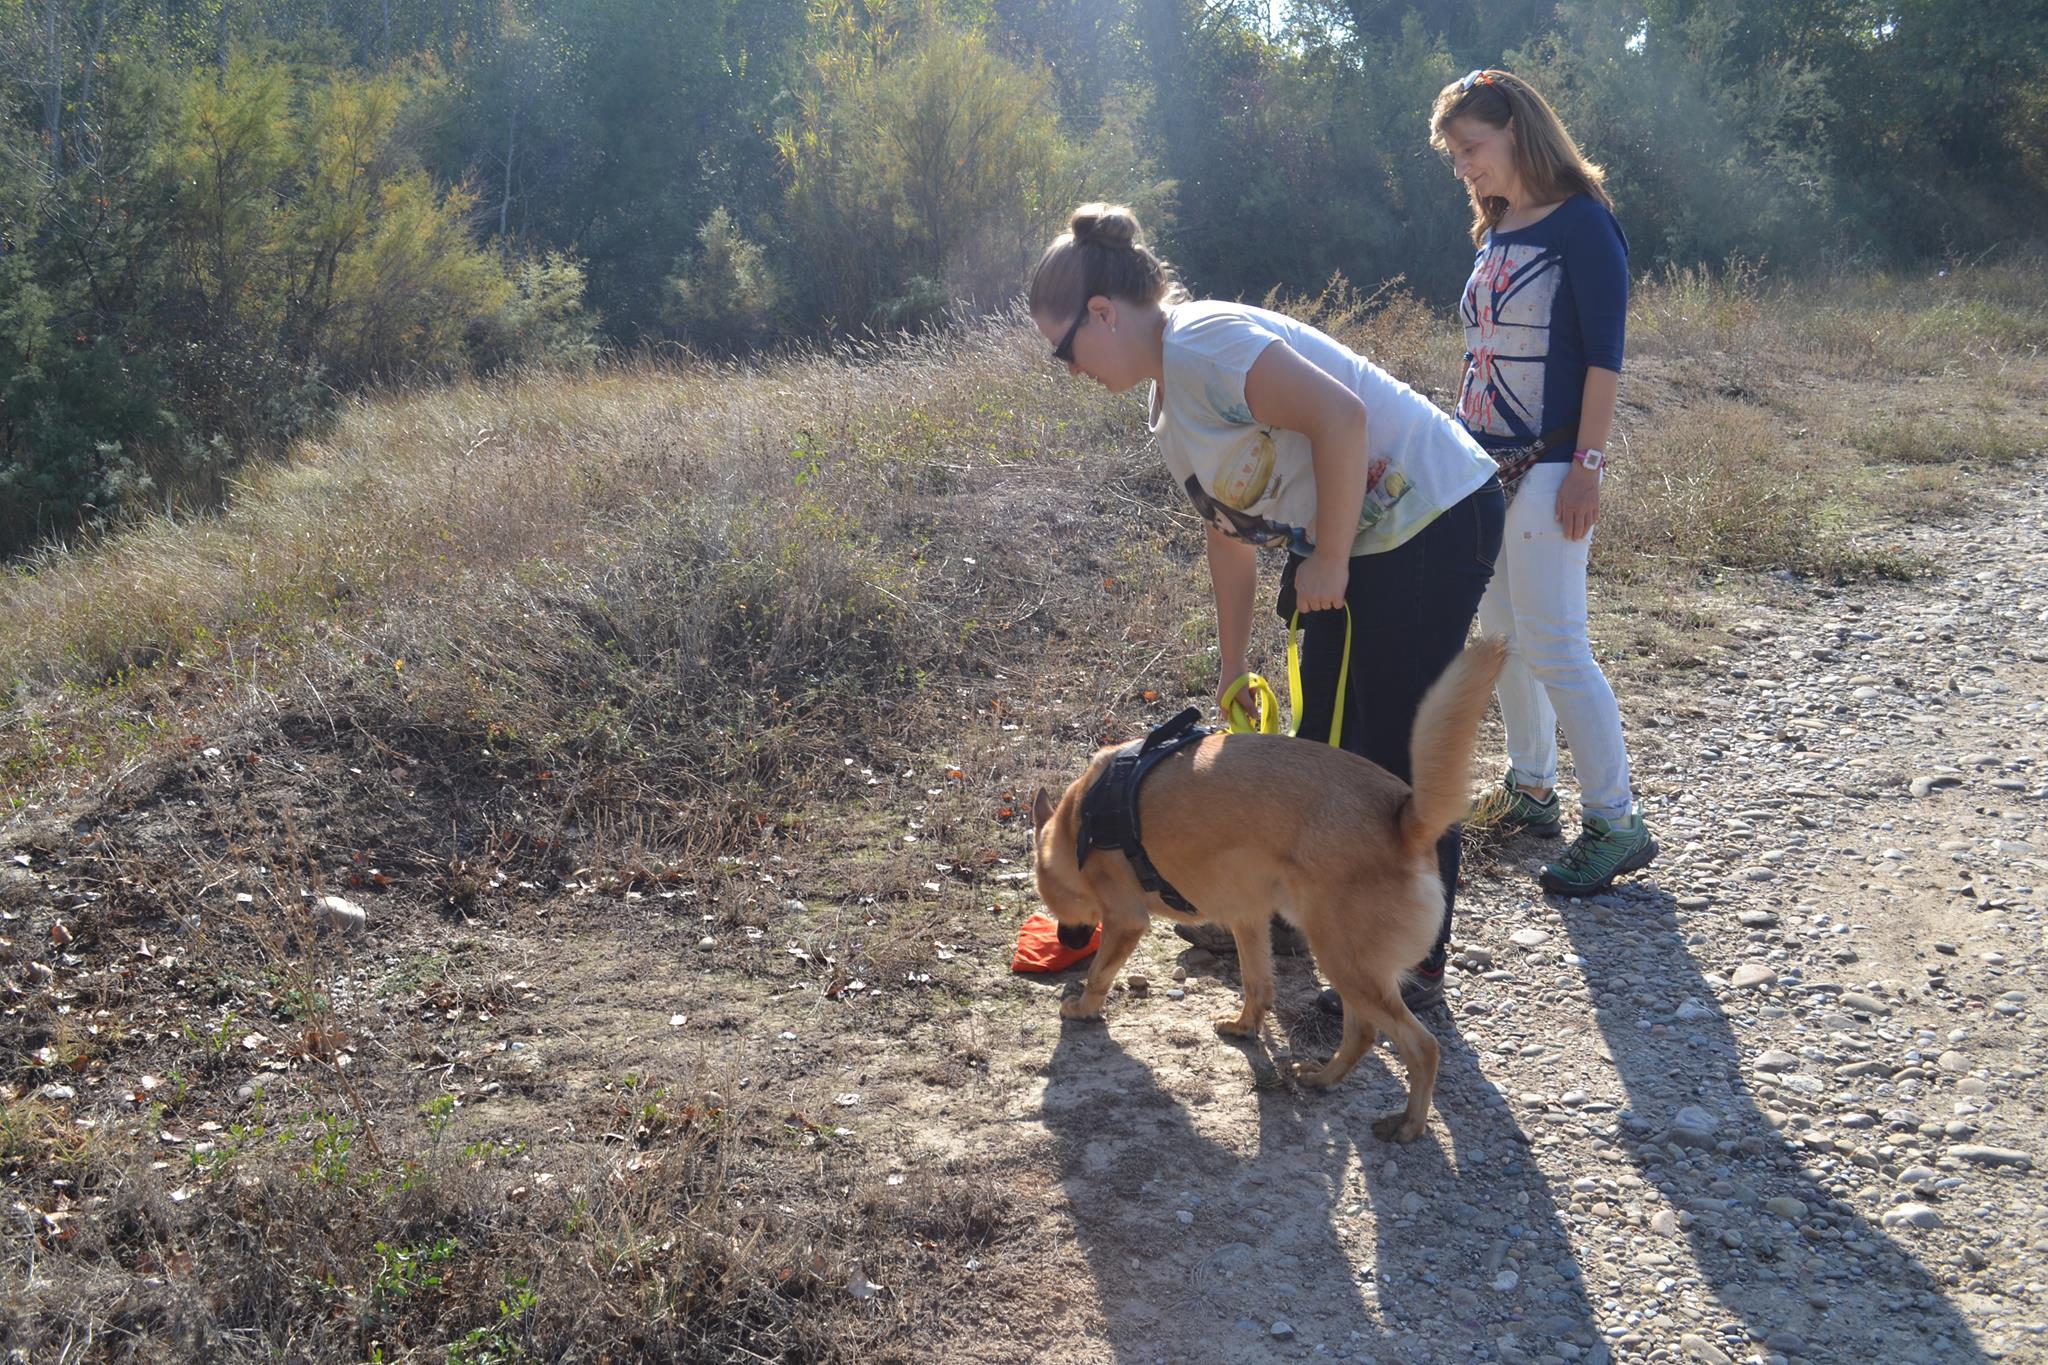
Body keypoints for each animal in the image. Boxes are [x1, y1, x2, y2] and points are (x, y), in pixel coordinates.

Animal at [1029, 637, 1506, 1143]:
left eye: (1057, 907)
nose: (1065, 941)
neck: (1078, 823)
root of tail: (1404, 821)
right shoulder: (1248, 919)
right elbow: (1258, 985)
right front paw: (1245, 1027)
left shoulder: (1125, 921)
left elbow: (1100, 973)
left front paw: (1083, 1007)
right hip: (1350, 968)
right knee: (1362, 1034)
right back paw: (1323, 1078)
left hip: (1345, 963)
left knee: (1422, 1047)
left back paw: (1410, 1123)